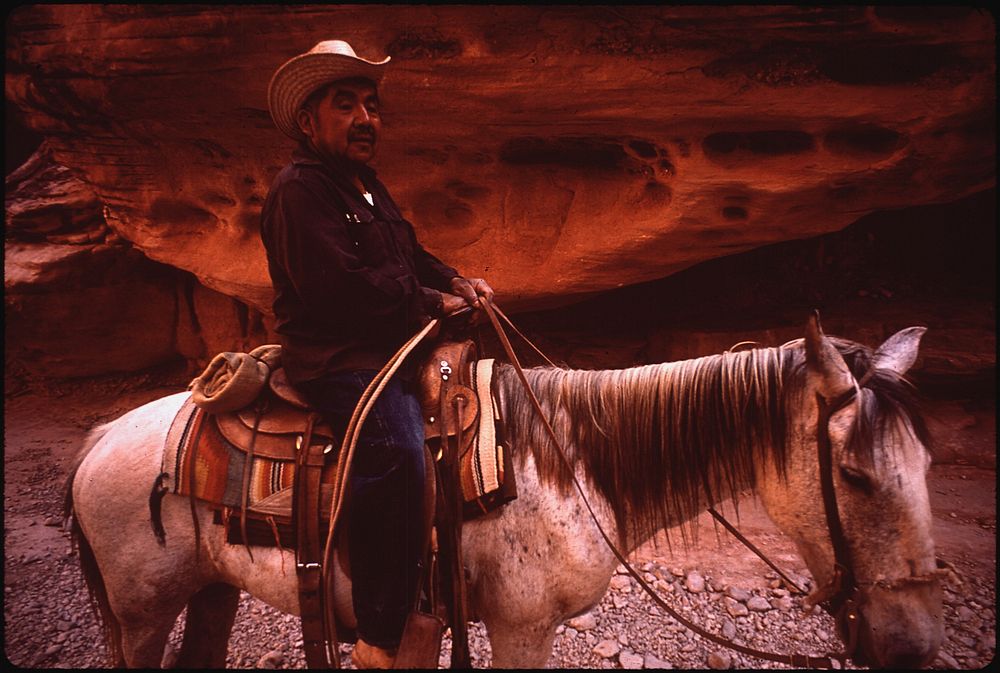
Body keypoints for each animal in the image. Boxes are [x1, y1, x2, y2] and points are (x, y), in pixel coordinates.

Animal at [66, 316, 940, 668]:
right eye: (855, 474)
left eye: (927, 466)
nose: (915, 649)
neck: (573, 462)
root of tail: (98, 439)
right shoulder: (523, 625)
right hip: (142, 612)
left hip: (211, 589)